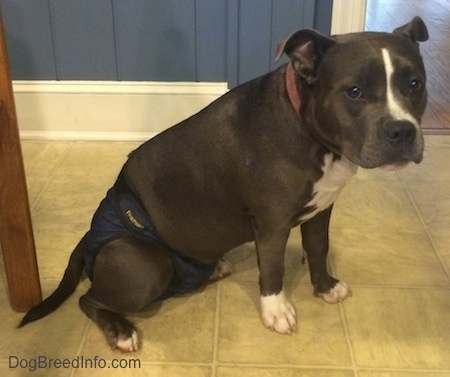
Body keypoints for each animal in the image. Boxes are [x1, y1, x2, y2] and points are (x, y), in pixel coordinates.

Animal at [20, 16, 428, 352]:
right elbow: (273, 269)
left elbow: (317, 248)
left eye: (415, 84)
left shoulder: (321, 210)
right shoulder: (273, 223)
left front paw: (325, 287)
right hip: (144, 265)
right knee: (89, 299)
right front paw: (276, 311)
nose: (402, 130)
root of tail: (89, 237)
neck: (310, 130)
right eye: (354, 91)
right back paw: (121, 331)